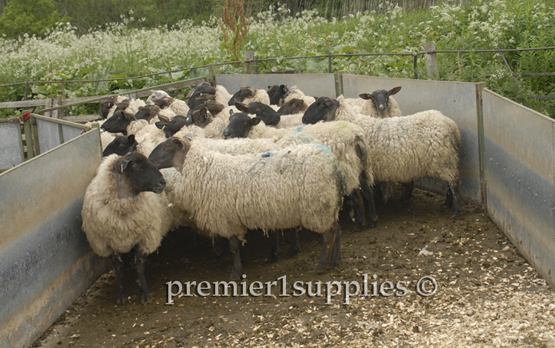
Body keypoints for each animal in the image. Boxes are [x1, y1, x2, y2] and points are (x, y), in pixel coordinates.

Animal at [81, 151, 170, 304]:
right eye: (136, 165)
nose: (162, 182)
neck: (123, 209)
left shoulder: (143, 238)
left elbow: (139, 267)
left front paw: (145, 293)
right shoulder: (110, 243)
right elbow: (118, 267)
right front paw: (121, 293)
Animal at [150, 137, 346, 278]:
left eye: (166, 148)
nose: (149, 161)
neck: (204, 168)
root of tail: (334, 164)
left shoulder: (226, 219)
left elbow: (234, 246)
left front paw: (236, 272)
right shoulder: (233, 218)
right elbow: (237, 245)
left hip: (318, 207)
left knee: (329, 234)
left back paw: (322, 265)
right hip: (329, 205)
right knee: (337, 229)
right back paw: (335, 261)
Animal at [302, 95, 462, 215]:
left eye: (321, 105)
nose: (303, 119)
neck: (352, 121)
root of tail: (450, 123)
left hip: (445, 161)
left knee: (453, 184)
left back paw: (455, 211)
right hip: (446, 161)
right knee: (450, 184)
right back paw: (446, 204)